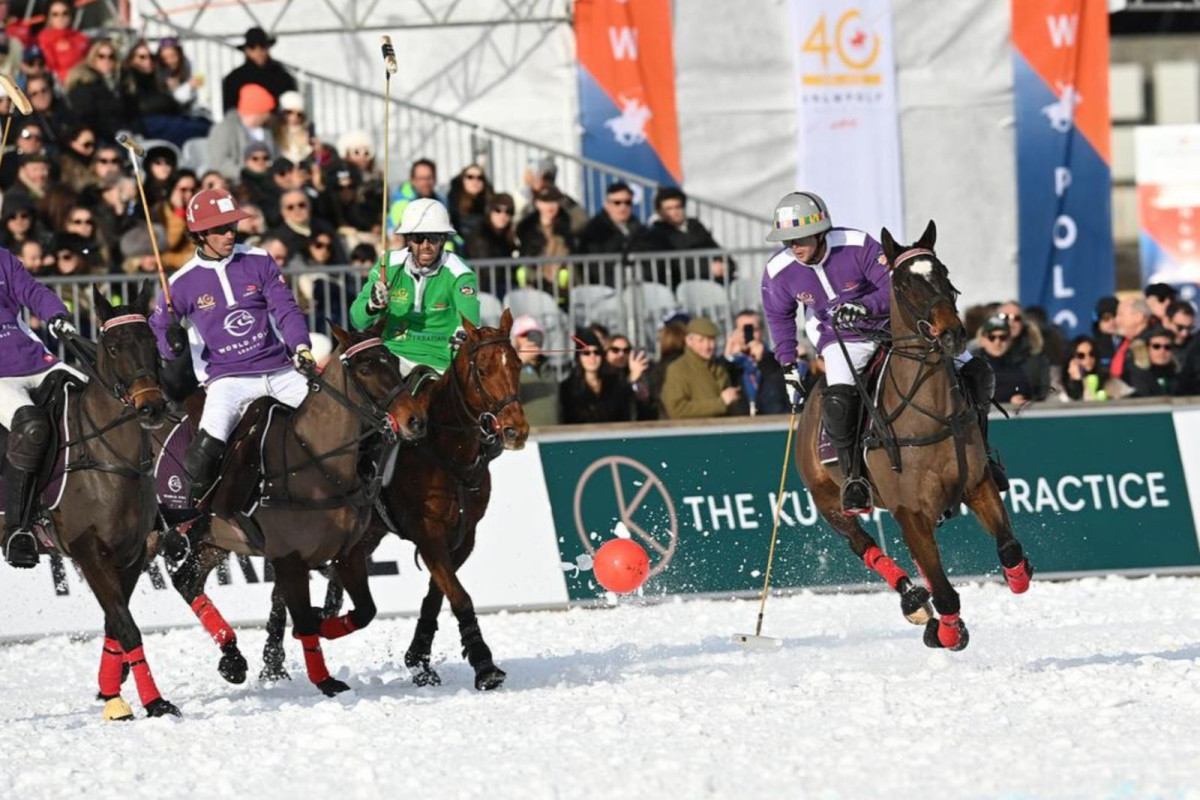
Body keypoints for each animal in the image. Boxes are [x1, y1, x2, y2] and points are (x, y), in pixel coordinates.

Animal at [35, 286, 175, 719]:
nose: (151, 407)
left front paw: (111, 692)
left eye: (153, 343)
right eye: (112, 348)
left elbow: (116, 621)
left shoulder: (132, 552)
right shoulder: (88, 550)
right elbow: (126, 624)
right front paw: (154, 702)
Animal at [164, 321, 427, 695]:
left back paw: (232, 659)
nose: (415, 421)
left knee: (187, 581)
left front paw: (323, 625)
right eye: (364, 369)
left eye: (391, 359)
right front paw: (325, 681)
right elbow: (302, 619)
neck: (318, 463)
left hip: (217, 540)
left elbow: (364, 611)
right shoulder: (289, 560)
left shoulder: (348, 552)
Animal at [265, 309, 532, 690]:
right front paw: (484, 664)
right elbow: (459, 595)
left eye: (518, 365)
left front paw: (419, 660)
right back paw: (272, 664)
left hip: (368, 534)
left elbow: (437, 595)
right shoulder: (428, 531)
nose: (515, 431)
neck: (443, 447)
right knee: (281, 590)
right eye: (482, 369)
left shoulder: (464, 536)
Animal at [796, 220, 1032, 652]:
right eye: (904, 282)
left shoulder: (977, 484)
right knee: (862, 544)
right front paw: (948, 632)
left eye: (944, 272)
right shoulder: (909, 511)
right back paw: (914, 603)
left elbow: (1008, 547)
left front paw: (1019, 575)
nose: (952, 334)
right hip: (829, 502)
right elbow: (945, 592)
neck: (929, 413)